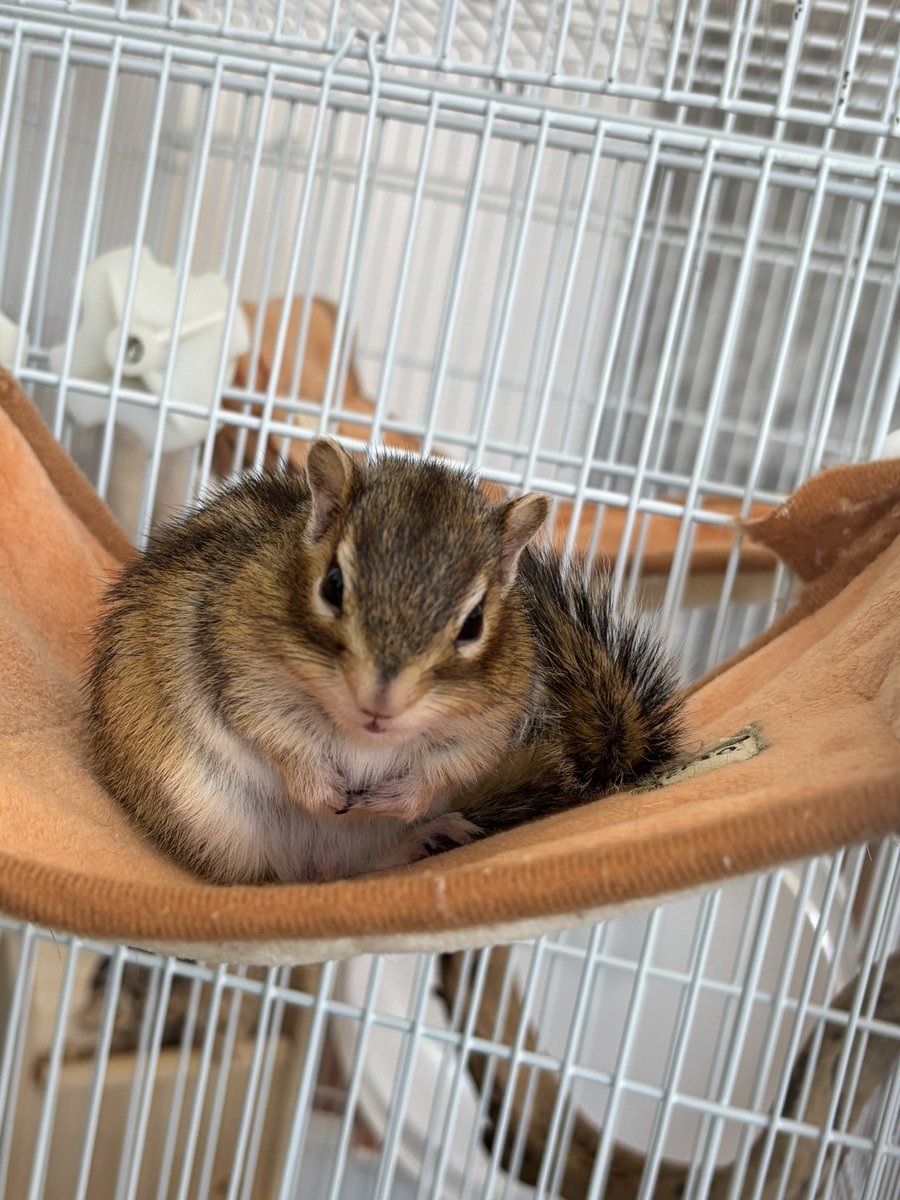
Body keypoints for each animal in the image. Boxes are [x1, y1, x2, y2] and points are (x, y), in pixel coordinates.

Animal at [87, 439, 683, 884]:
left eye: (474, 621)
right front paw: (321, 788)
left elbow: (450, 762)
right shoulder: (235, 668)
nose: (381, 704)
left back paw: (424, 835)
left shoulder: (487, 724)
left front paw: (398, 799)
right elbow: (273, 732)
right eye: (332, 584)